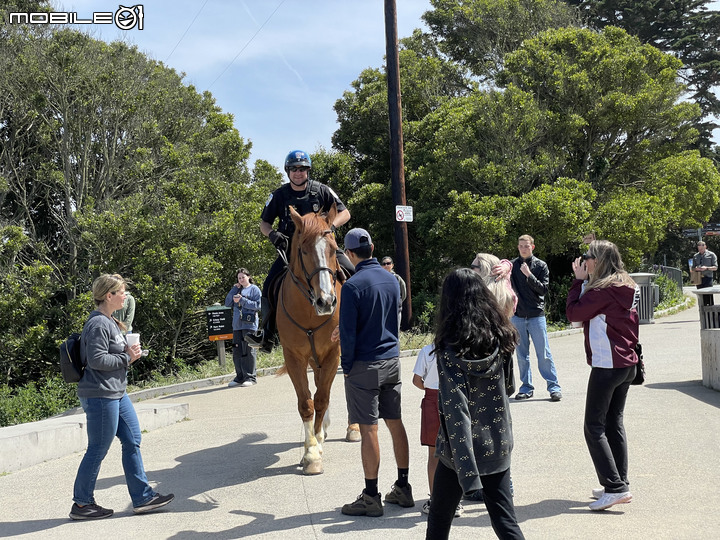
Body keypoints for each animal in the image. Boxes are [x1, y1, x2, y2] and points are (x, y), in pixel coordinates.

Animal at [276, 205, 354, 474]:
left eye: (333, 248)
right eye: (304, 250)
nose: (326, 301)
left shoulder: (333, 353)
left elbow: (321, 399)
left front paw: (316, 446)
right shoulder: (295, 358)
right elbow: (307, 403)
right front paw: (310, 451)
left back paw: (350, 429)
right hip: (313, 359)